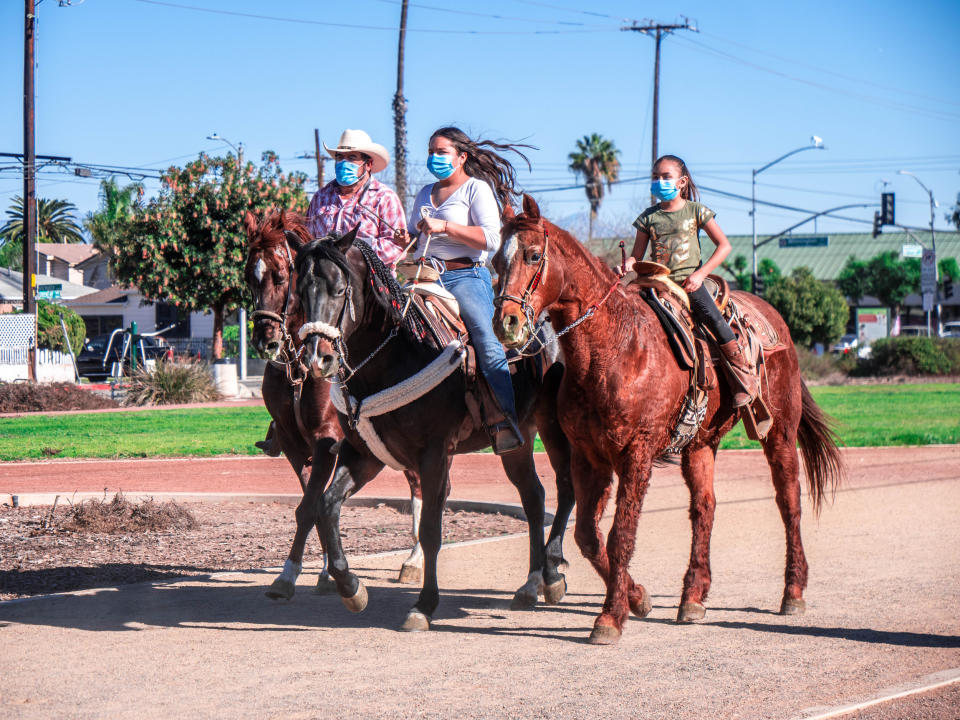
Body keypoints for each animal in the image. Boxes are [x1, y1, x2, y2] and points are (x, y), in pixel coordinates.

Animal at [242, 211, 422, 600]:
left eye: (282, 276)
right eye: (249, 276)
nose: (265, 339)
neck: (300, 370)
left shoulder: (327, 441)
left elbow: (311, 506)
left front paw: (295, 575)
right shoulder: (294, 446)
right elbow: (309, 505)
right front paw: (319, 572)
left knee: (419, 486)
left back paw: (415, 560)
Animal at [296, 231, 572, 632]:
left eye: (339, 289)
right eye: (299, 291)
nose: (318, 357)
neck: (400, 352)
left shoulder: (434, 456)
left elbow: (429, 530)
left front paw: (424, 605)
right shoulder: (363, 454)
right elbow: (326, 505)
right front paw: (350, 587)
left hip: (555, 428)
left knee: (565, 489)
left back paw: (551, 576)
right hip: (517, 440)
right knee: (534, 498)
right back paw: (531, 583)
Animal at [492, 194, 844, 644]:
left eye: (534, 255)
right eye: (495, 261)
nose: (507, 323)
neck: (617, 346)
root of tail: (774, 319)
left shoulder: (636, 454)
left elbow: (620, 535)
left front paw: (610, 617)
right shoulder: (589, 456)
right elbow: (588, 535)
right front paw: (637, 597)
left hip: (780, 431)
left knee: (789, 502)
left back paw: (793, 591)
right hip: (700, 445)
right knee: (705, 508)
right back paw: (693, 595)